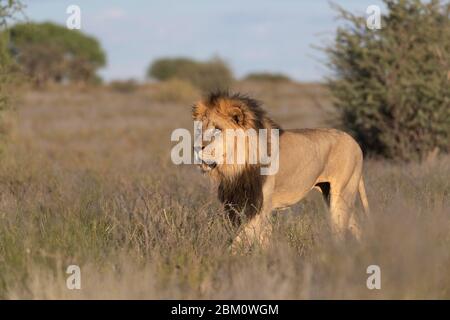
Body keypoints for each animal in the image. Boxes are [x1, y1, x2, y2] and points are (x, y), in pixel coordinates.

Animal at [192, 91, 370, 251]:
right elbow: (260, 239)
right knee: (355, 227)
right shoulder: (236, 203)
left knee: (340, 230)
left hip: (340, 197)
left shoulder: (259, 207)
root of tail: (354, 141)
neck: (234, 168)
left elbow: (238, 241)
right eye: (200, 129)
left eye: (217, 129)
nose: (196, 147)